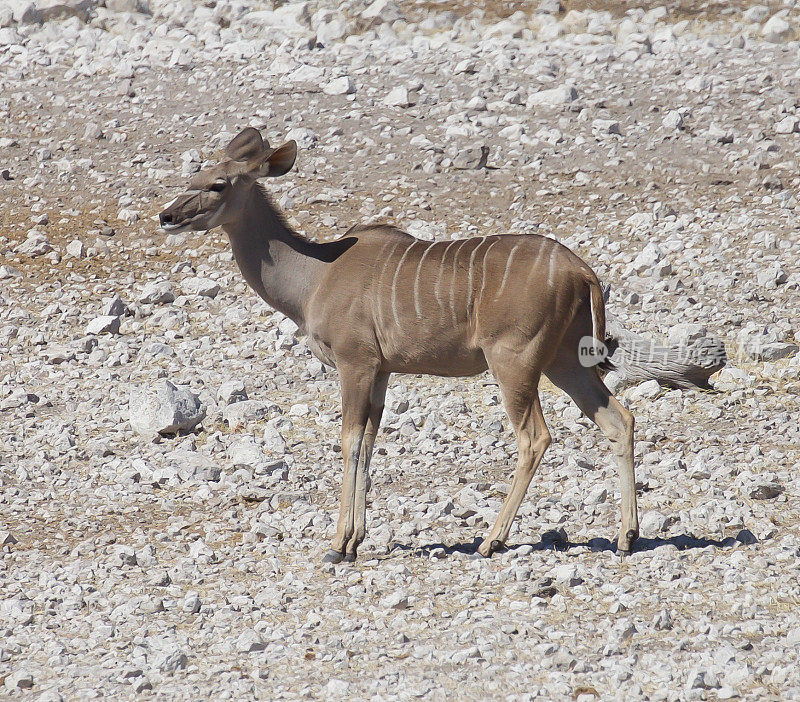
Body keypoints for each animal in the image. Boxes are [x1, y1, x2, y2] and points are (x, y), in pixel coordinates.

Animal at [161, 128, 636, 568]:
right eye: (193, 176)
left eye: (218, 184)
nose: (167, 216)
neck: (316, 276)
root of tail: (581, 270)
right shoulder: (382, 370)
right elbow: (370, 441)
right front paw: (355, 541)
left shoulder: (355, 363)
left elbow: (350, 440)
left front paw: (338, 545)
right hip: (564, 360)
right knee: (619, 419)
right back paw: (626, 537)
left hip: (514, 363)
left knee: (535, 437)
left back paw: (491, 541)